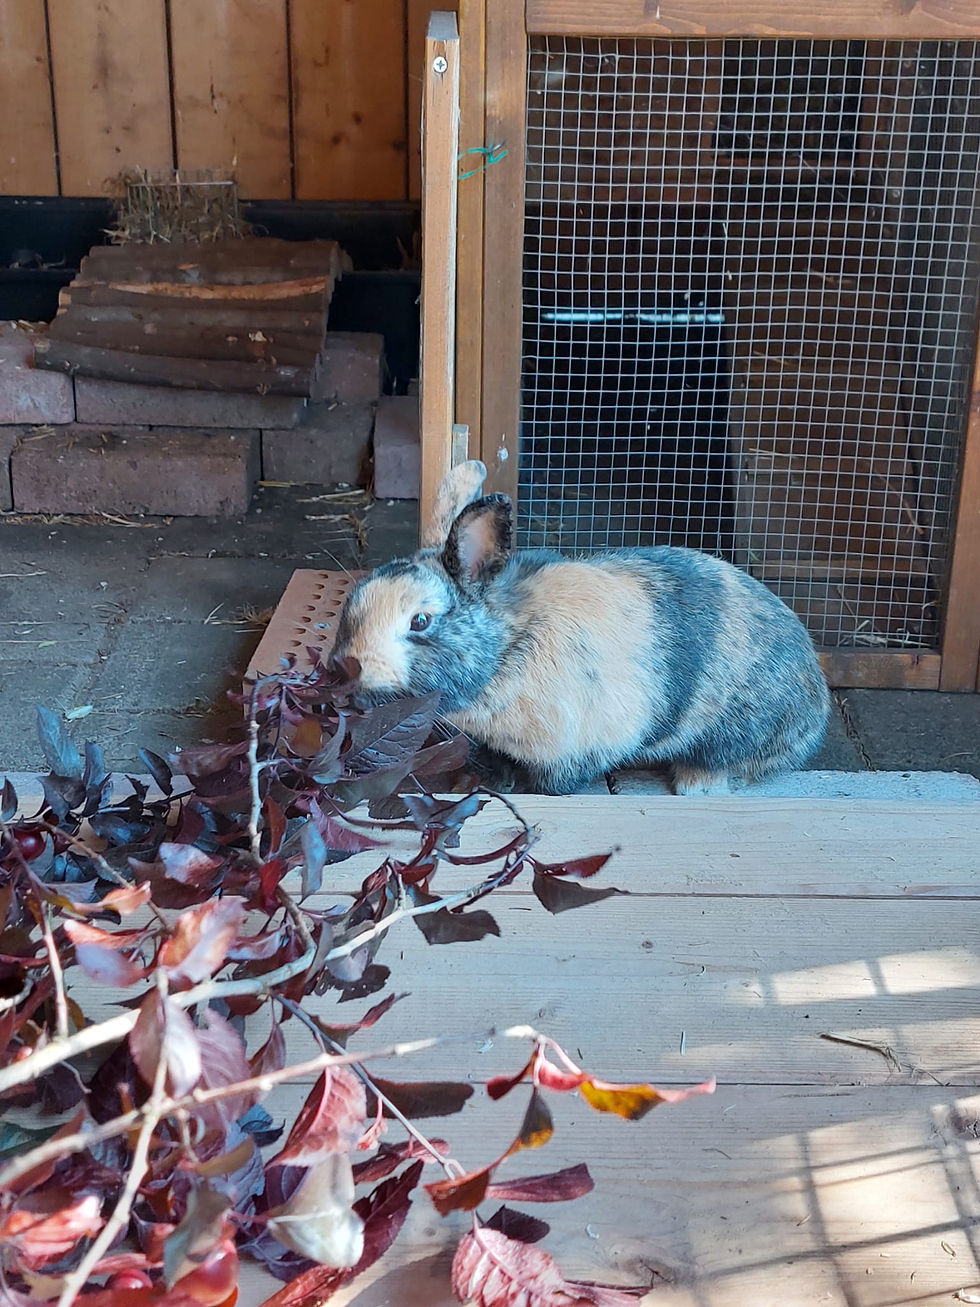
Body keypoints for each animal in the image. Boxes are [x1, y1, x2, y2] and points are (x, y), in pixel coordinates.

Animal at [331, 460, 830, 795]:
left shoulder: (573, 749)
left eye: (420, 621)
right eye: (355, 599)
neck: (505, 650)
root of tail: (817, 700)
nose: (346, 670)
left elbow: (553, 784)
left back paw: (695, 784)